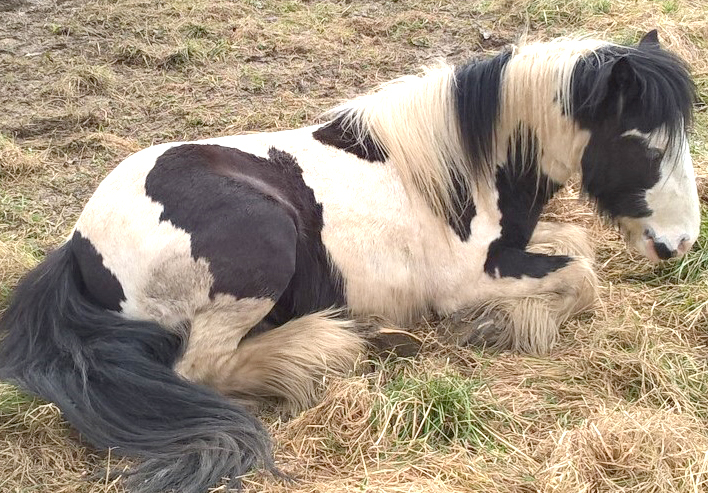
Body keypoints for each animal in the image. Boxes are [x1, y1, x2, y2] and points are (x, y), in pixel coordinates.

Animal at [0, 29, 696, 492]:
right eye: (643, 142)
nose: (683, 242)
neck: (454, 170)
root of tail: (79, 246)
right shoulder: (470, 279)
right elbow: (582, 277)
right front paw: (500, 325)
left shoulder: (518, 245)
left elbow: (576, 247)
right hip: (265, 240)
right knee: (202, 368)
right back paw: (326, 347)